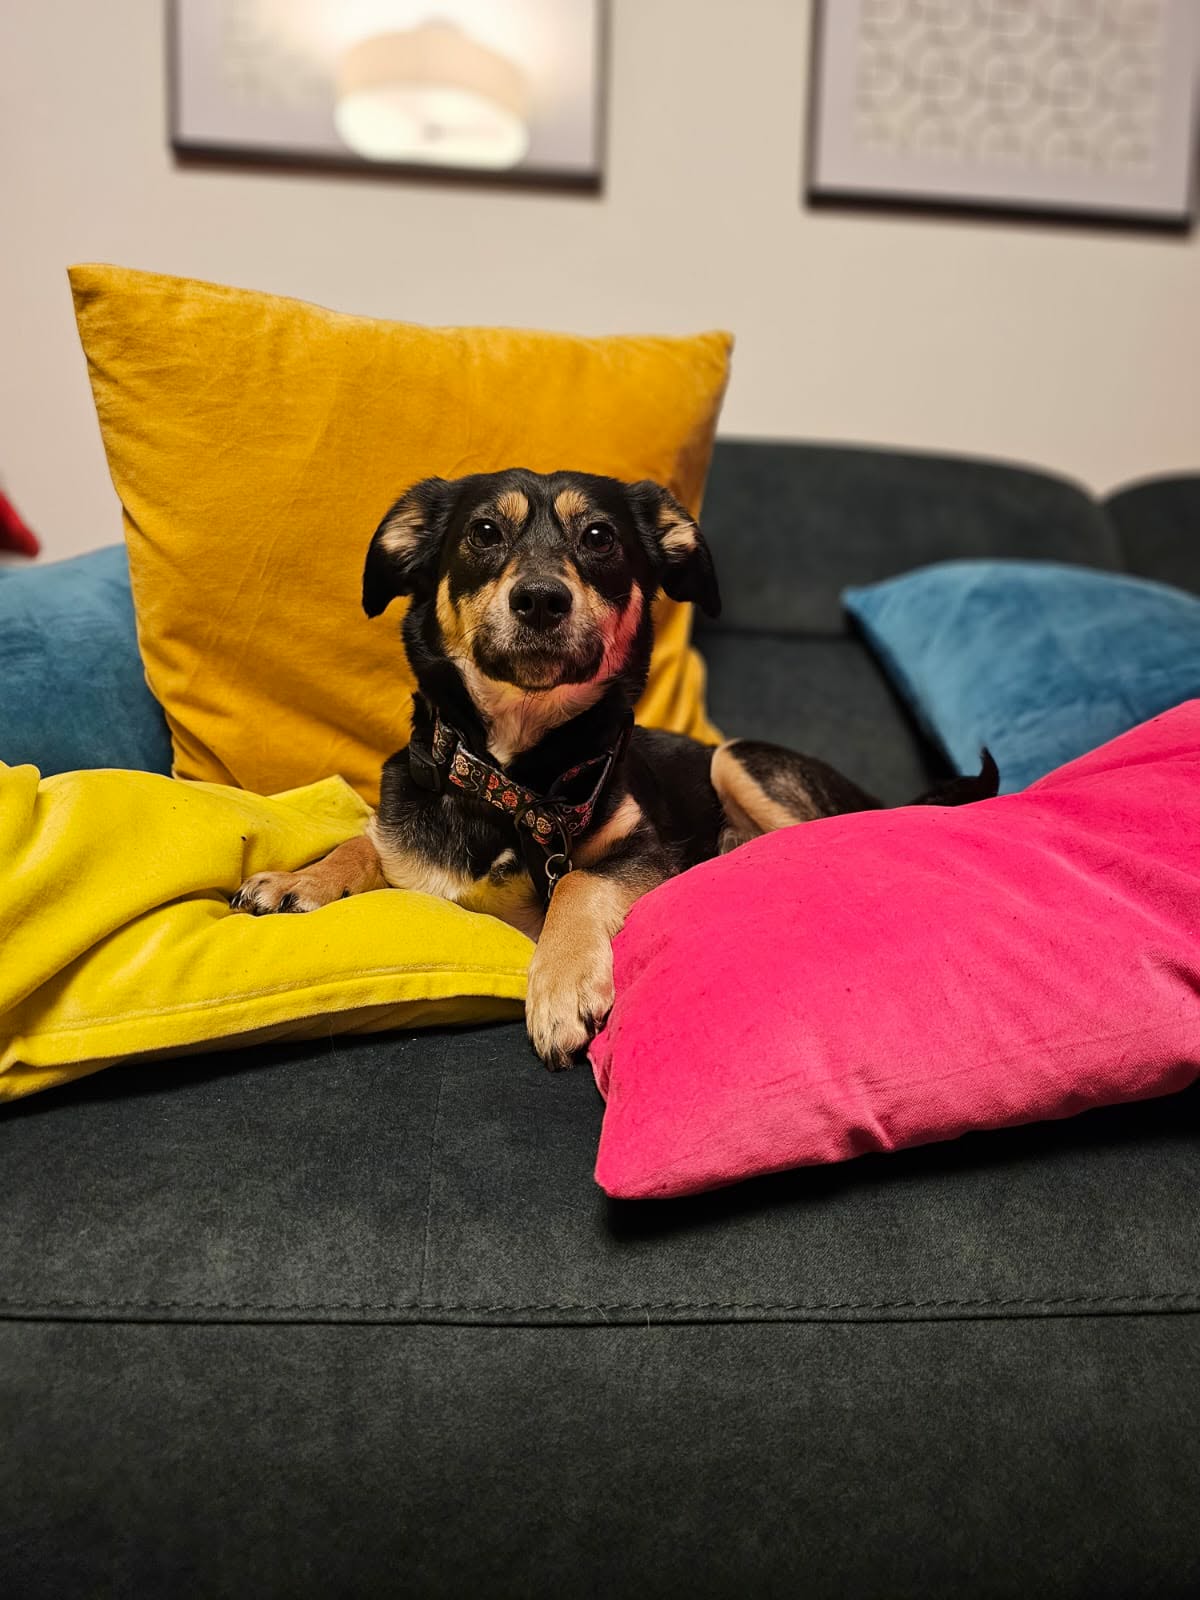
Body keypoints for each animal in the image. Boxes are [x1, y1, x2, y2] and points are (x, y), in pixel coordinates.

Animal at [231, 469, 997, 1068]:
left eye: (599, 537)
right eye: (484, 532)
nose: (541, 599)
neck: (517, 783)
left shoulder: (646, 849)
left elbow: (578, 881)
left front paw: (561, 985)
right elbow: (364, 841)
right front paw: (298, 880)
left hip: (738, 758)